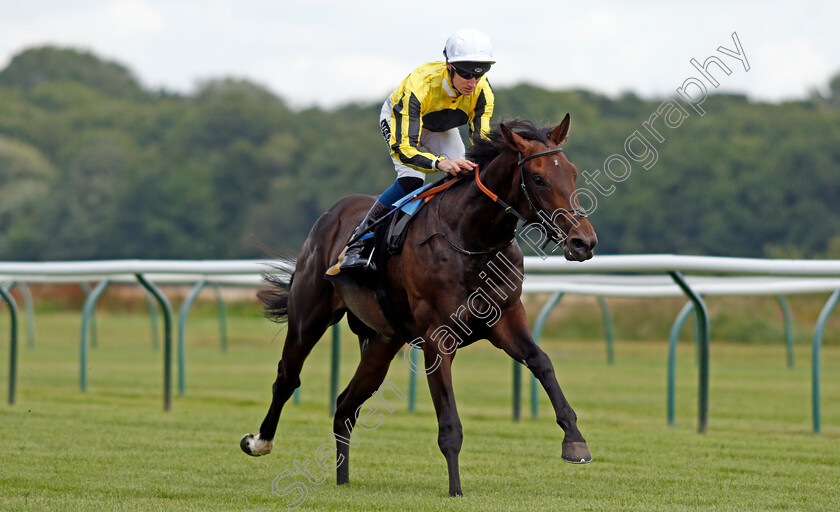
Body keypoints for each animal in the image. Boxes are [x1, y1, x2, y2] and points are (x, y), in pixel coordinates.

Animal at [240, 115, 600, 496]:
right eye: (538, 178)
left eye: (573, 173)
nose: (583, 242)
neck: (470, 239)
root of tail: (330, 215)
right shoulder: (436, 338)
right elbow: (449, 424)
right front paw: (456, 490)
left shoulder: (506, 319)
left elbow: (541, 361)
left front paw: (575, 440)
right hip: (309, 318)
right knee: (287, 378)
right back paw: (259, 442)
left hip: (382, 343)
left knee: (344, 406)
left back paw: (342, 479)